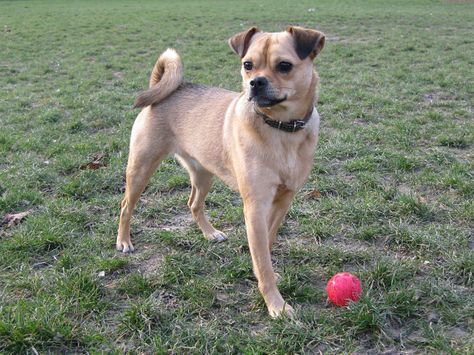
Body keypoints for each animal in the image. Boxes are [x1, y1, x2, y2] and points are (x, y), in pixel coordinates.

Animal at [117, 26, 326, 318]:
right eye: (247, 65)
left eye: (284, 66)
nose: (255, 83)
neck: (280, 129)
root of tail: (166, 88)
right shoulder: (255, 207)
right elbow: (263, 259)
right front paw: (276, 304)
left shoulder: (283, 200)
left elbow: (267, 245)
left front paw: (262, 273)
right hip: (141, 168)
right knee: (126, 206)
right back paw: (123, 241)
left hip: (203, 173)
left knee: (193, 203)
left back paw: (209, 233)